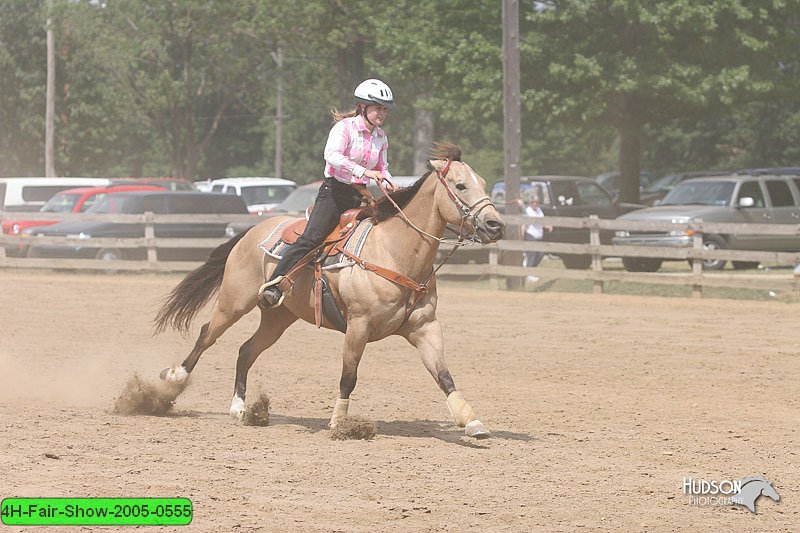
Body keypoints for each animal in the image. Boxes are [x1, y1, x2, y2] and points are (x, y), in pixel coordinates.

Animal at [155, 143, 504, 438]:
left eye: (484, 183)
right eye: (460, 185)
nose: (495, 225)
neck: (393, 251)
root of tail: (251, 230)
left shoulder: (425, 327)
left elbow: (444, 375)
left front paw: (471, 421)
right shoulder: (358, 326)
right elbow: (348, 377)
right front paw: (339, 423)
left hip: (278, 318)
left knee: (246, 350)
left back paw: (240, 408)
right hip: (234, 302)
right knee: (206, 334)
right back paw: (175, 378)